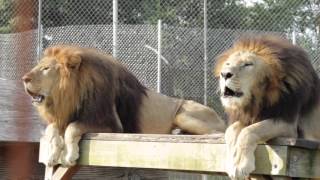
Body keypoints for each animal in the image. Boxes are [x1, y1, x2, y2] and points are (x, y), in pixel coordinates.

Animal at [22, 45, 226, 167]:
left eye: (46, 69)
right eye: (39, 66)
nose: (24, 78)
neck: (69, 95)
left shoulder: (110, 124)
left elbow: (72, 128)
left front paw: (70, 155)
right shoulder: (64, 116)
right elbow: (52, 129)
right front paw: (51, 154)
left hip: (183, 113)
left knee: (220, 133)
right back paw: (179, 133)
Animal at [214, 35, 320, 179]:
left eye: (248, 64)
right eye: (228, 64)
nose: (224, 74)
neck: (258, 100)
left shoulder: (288, 124)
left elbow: (249, 131)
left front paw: (241, 165)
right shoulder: (248, 117)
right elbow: (231, 130)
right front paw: (232, 163)